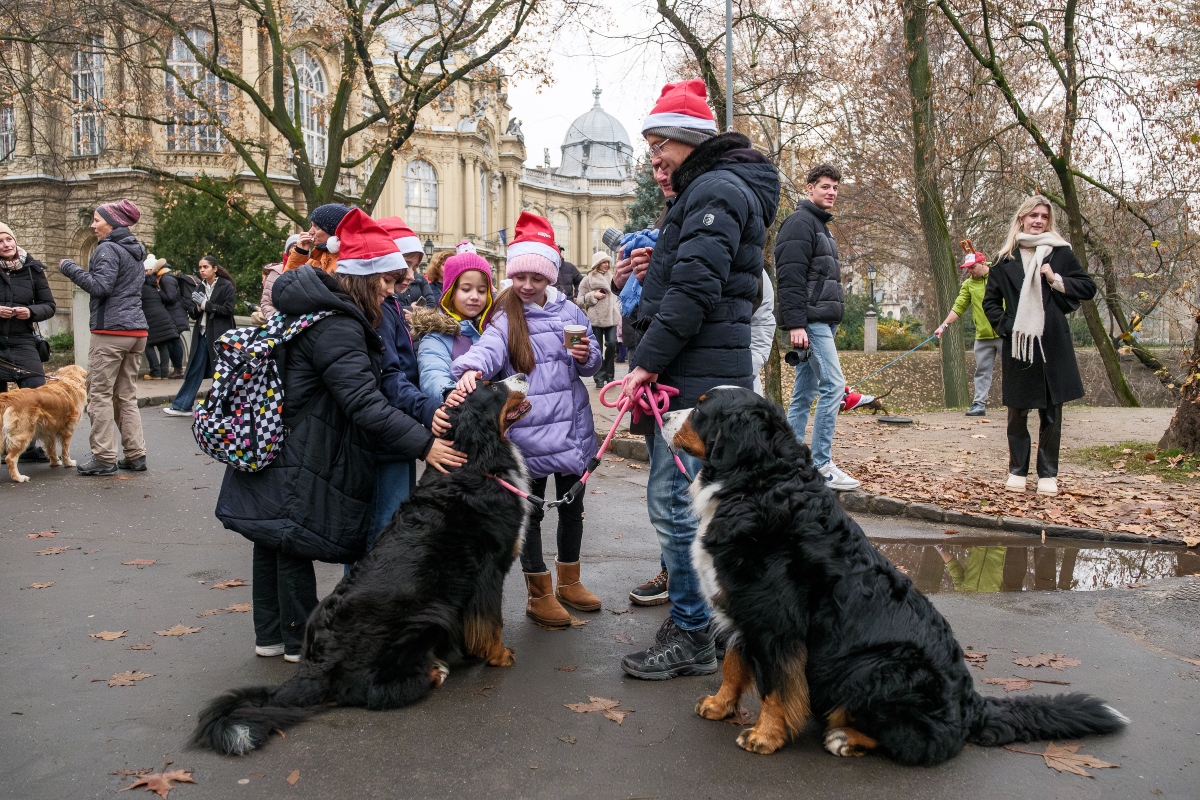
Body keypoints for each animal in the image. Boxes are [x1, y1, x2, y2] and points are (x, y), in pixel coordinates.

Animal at [194, 376, 532, 758]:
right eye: (493, 387)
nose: (522, 375)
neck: (473, 461)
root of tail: (315, 668)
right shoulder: (491, 568)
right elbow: (492, 621)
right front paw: (500, 655)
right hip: (431, 612)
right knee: (371, 691)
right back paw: (434, 671)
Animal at [662, 391, 1128, 767]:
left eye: (701, 409)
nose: (662, 410)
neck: (760, 484)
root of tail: (970, 705)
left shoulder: (775, 622)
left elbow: (775, 687)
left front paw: (765, 736)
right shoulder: (741, 607)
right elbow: (734, 665)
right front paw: (720, 705)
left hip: (870, 666)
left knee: (926, 742)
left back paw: (846, 738)